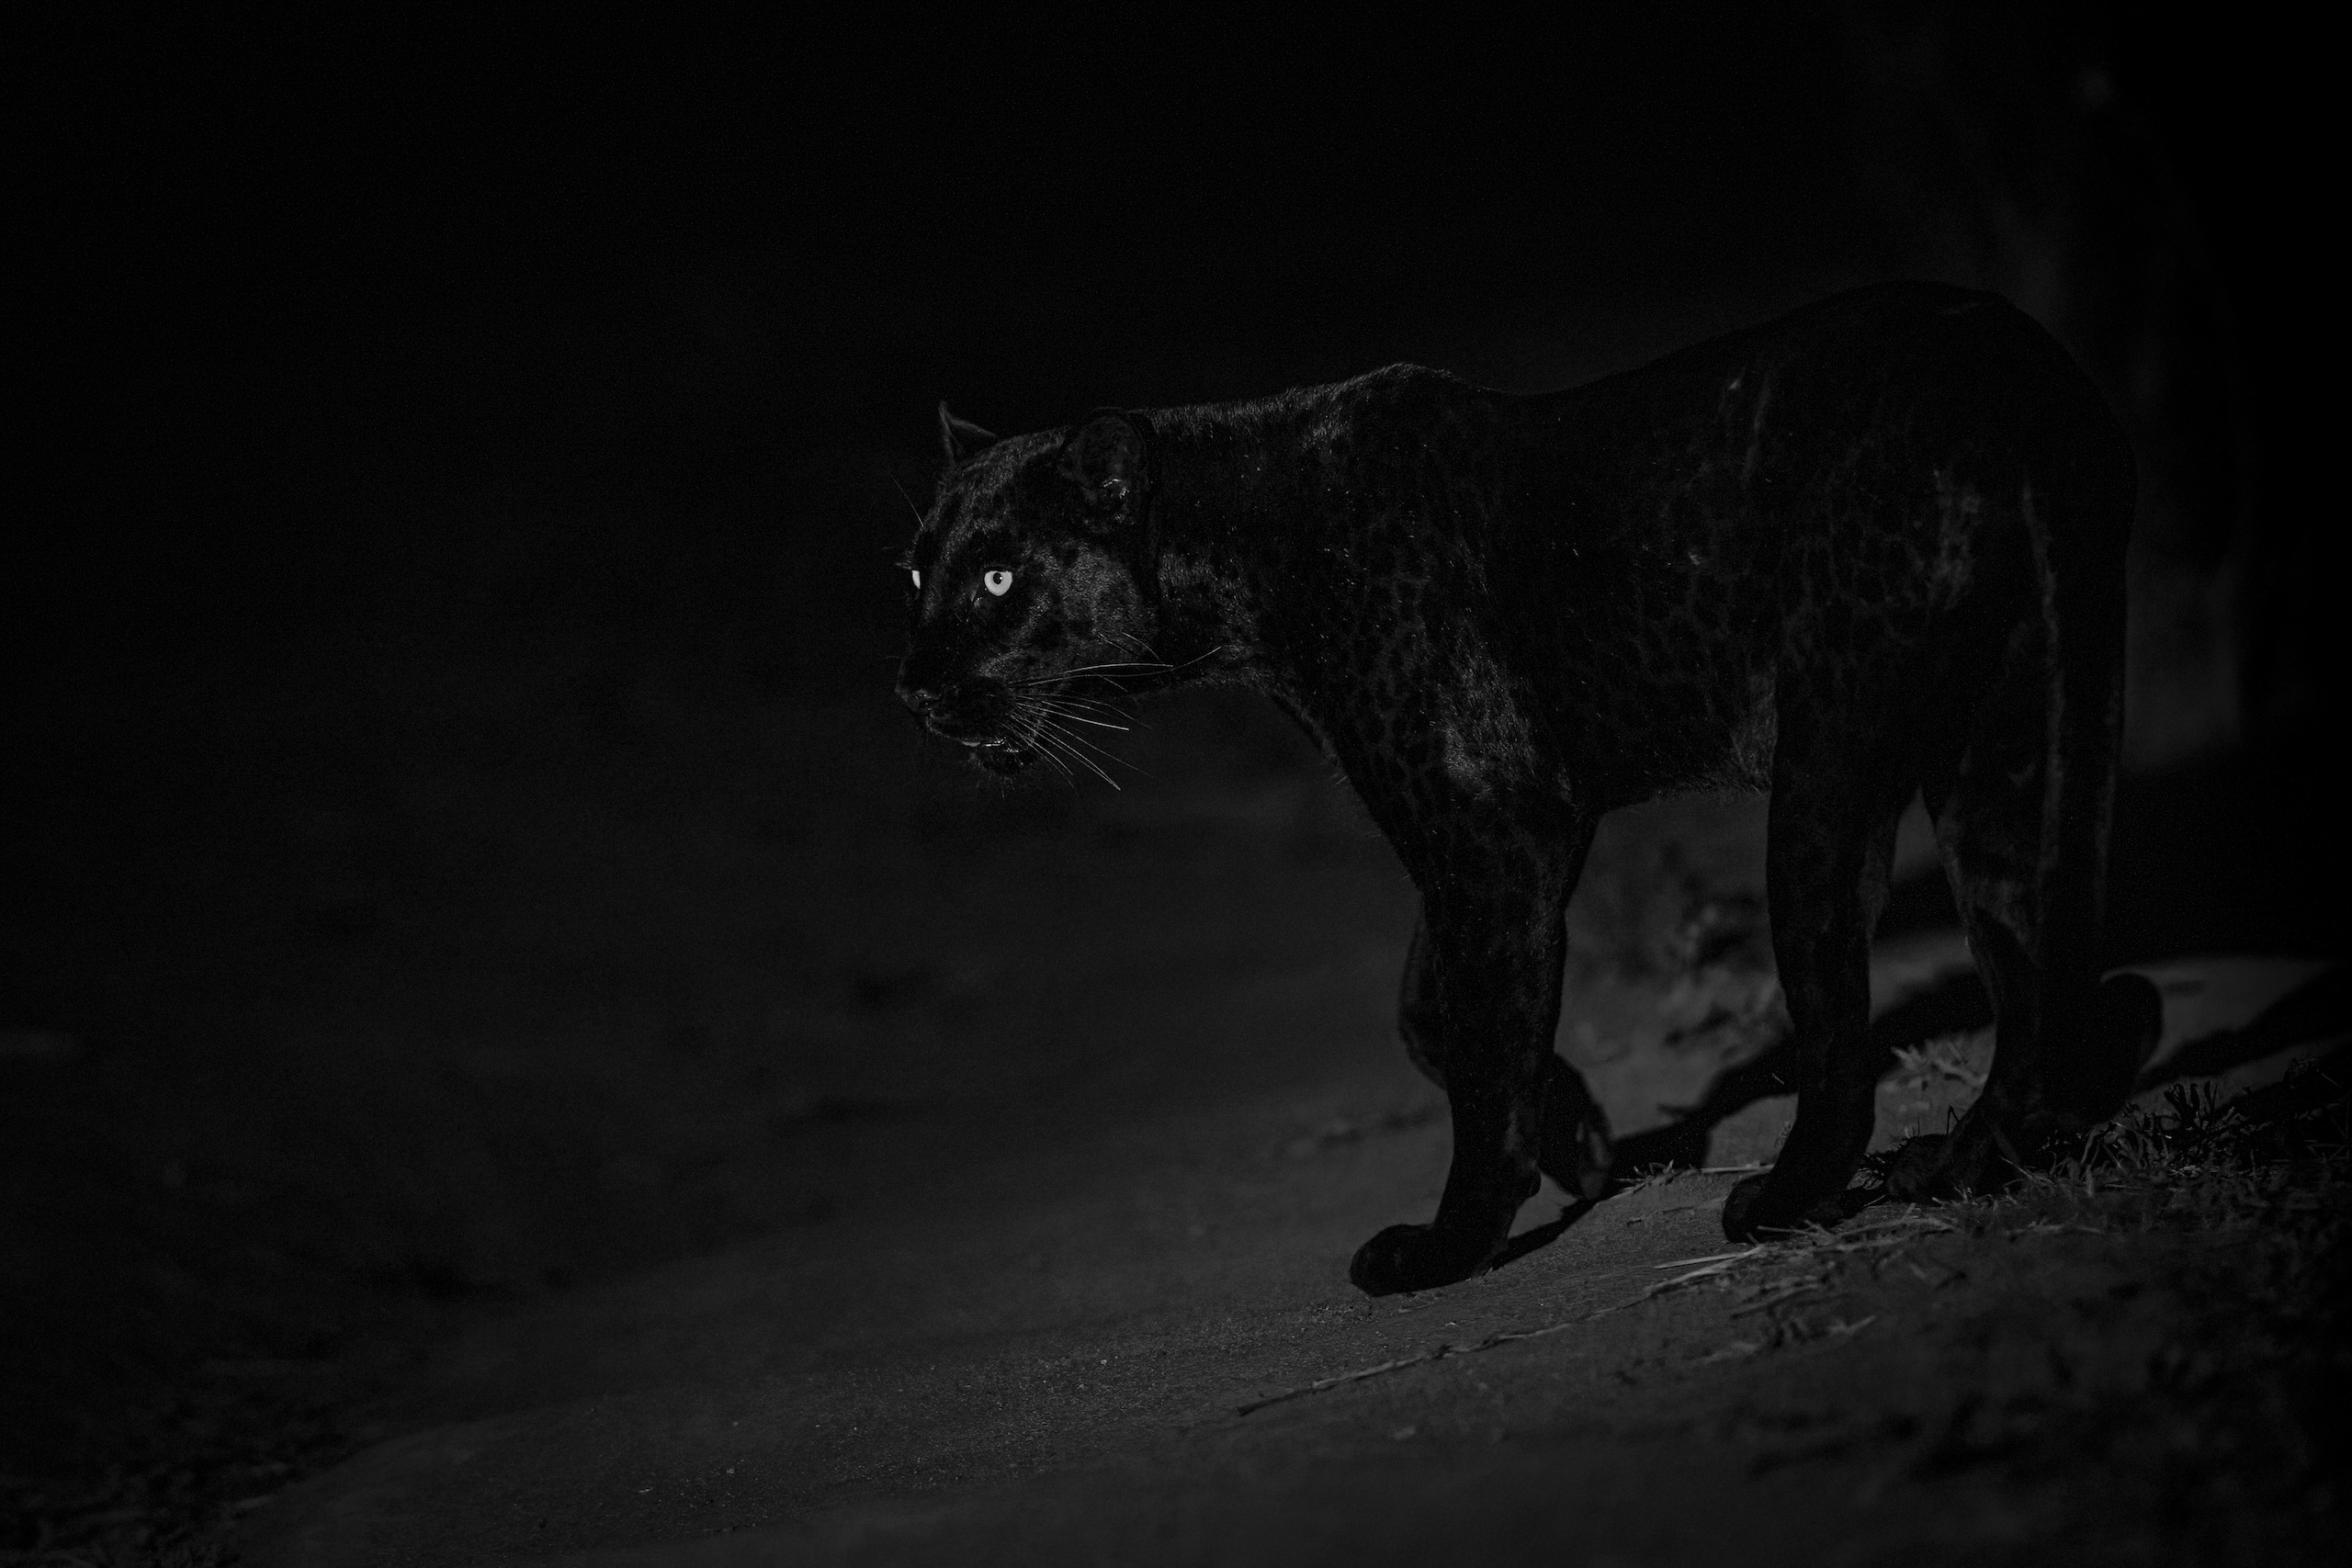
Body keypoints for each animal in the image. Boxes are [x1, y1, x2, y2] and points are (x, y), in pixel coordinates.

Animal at [895, 281, 2164, 1296]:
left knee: (1840, 1031)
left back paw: (1780, 1203)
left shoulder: (1486, 824)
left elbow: (1479, 1045)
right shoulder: (1510, 829)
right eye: (916, 571)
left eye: (998, 577)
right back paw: (1959, 1164)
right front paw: (1586, 1144)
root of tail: (2015, 371)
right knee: (2024, 969)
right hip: (2001, 745)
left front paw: (1450, 1245)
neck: (1244, 572)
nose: (914, 687)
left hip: (1827, 772)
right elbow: (1428, 1008)